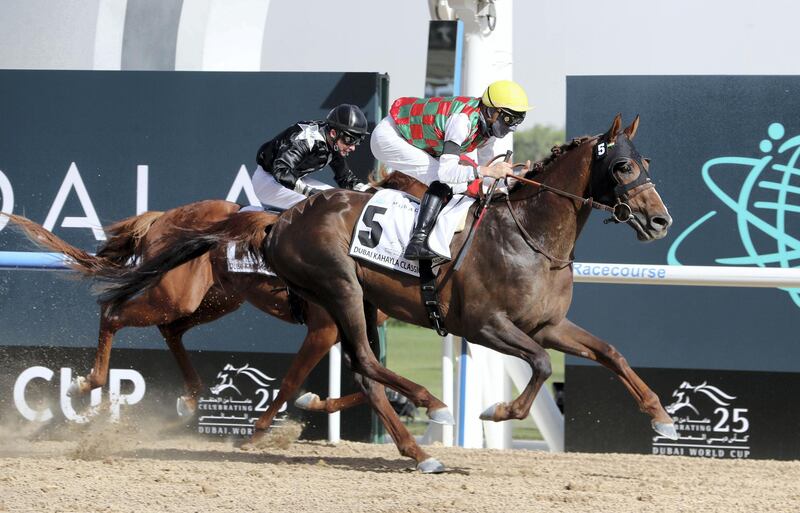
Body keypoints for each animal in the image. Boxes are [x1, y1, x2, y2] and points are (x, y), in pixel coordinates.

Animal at [1, 196, 450, 472]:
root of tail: (161, 218)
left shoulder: (342, 330)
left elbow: (366, 378)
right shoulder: (324, 328)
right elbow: (296, 380)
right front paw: (260, 431)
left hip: (212, 299)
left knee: (171, 330)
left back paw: (190, 396)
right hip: (176, 295)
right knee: (113, 313)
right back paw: (87, 382)